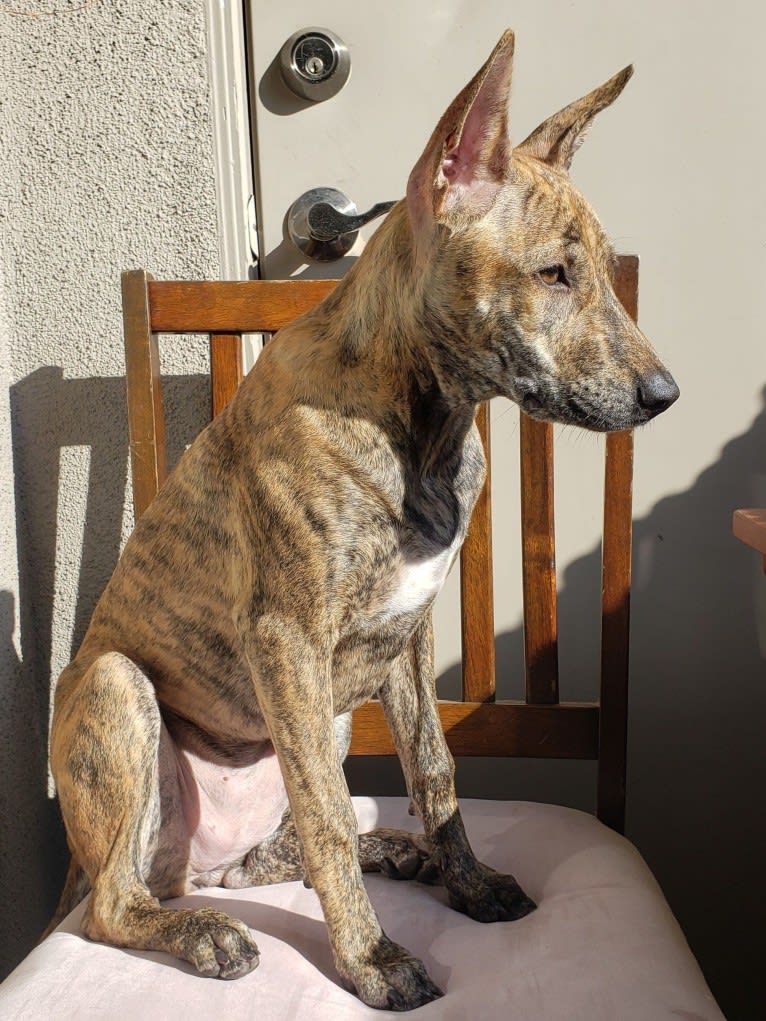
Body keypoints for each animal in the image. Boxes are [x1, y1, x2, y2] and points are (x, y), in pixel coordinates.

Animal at [44, 31, 682, 1012]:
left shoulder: (408, 636)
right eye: (552, 273)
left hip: (325, 719)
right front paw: (371, 959)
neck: (418, 425)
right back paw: (207, 931)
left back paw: (392, 851)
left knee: (260, 855)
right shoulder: (287, 639)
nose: (664, 396)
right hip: (123, 690)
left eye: (605, 274)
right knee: (123, 900)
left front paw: (467, 881)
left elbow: (433, 769)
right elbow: (329, 813)